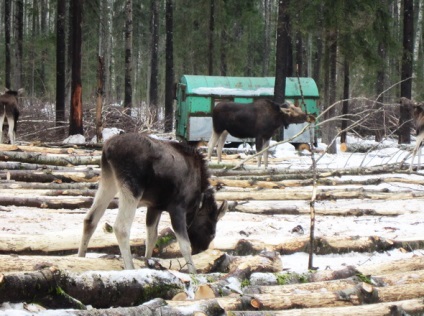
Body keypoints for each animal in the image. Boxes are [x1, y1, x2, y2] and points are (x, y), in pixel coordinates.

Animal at [78, 132, 227, 272]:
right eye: (212, 232)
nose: (201, 250)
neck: (196, 203)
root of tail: (108, 148)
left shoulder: (155, 207)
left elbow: (151, 237)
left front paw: (148, 262)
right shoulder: (177, 208)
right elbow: (184, 245)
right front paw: (193, 272)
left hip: (108, 178)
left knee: (90, 219)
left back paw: (80, 257)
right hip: (132, 187)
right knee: (121, 227)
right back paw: (130, 267)